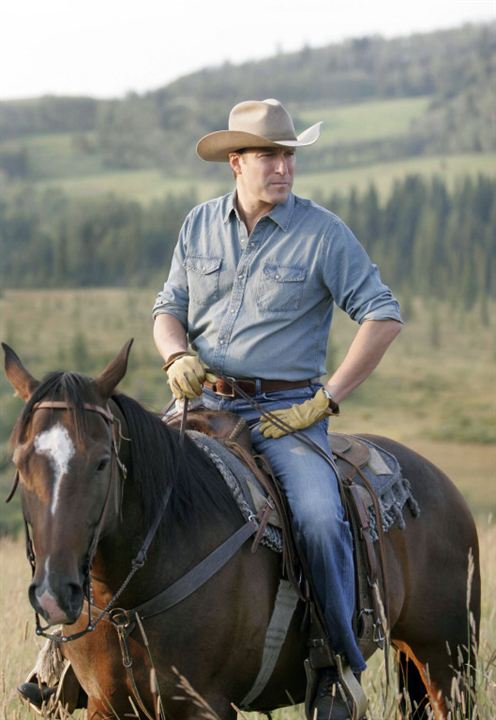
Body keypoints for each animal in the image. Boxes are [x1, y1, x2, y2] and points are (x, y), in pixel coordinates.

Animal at [3, 338, 480, 720]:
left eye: (102, 462)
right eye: (20, 462)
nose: (54, 594)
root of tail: (445, 488)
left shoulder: (207, 705)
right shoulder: (108, 707)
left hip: (448, 662)